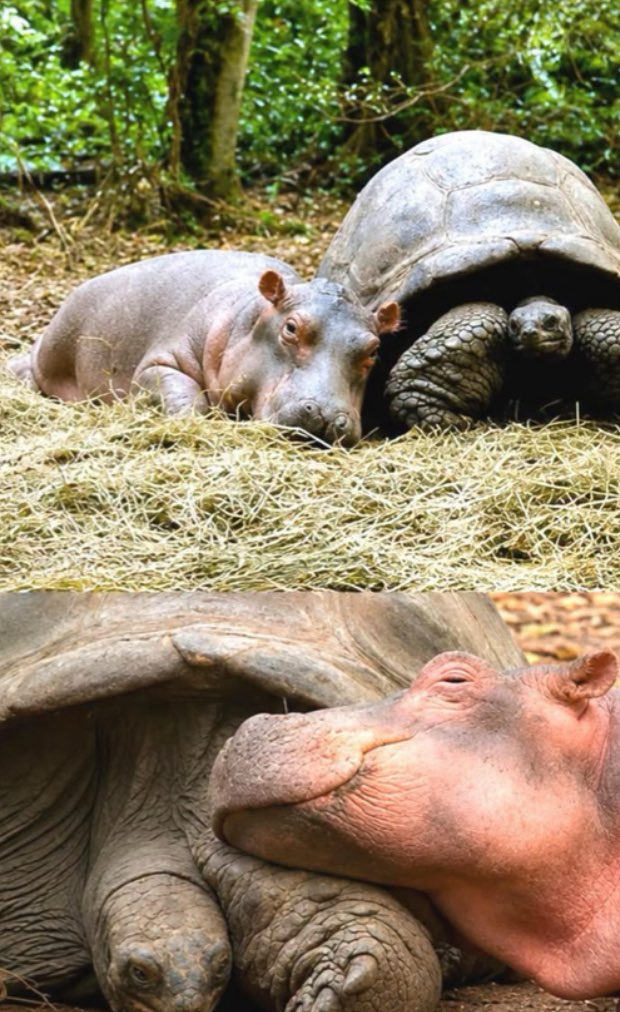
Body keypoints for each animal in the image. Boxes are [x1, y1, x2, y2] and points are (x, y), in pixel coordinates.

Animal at [8, 250, 400, 445]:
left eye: (373, 350)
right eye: (291, 328)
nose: (328, 415)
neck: (250, 317)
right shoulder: (160, 361)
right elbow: (180, 389)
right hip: (54, 346)